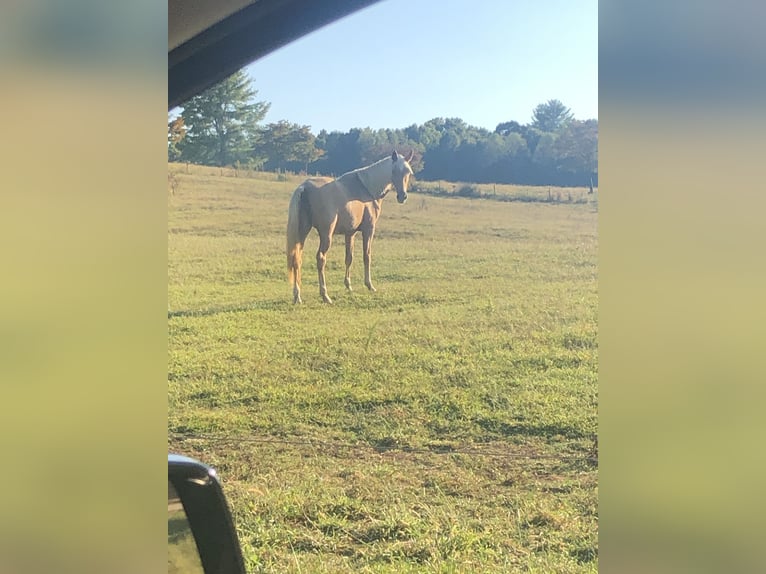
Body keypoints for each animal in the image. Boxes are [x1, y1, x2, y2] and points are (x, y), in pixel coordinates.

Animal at [284, 152, 414, 306]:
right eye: (394, 171)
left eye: (408, 172)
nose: (402, 196)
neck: (366, 188)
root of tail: (304, 187)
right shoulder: (369, 230)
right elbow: (367, 255)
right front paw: (369, 285)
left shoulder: (350, 233)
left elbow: (349, 258)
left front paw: (348, 285)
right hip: (326, 235)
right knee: (321, 258)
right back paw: (325, 295)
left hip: (302, 232)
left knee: (297, 259)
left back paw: (297, 296)